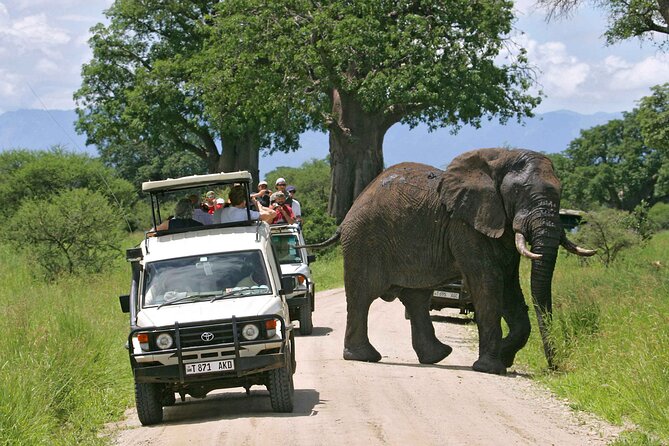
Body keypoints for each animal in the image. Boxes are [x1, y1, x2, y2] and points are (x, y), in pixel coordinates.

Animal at [306, 148, 595, 375]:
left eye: (561, 192)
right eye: (518, 192)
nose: (554, 368)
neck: (500, 158)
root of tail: (348, 214)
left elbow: (510, 286)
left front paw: (504, 356)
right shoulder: (465, 226)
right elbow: (488, 282)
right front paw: (491, 368)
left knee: (416, 298)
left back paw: (437, 356)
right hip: (364, 241)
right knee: (363, 295)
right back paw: (364, 357)